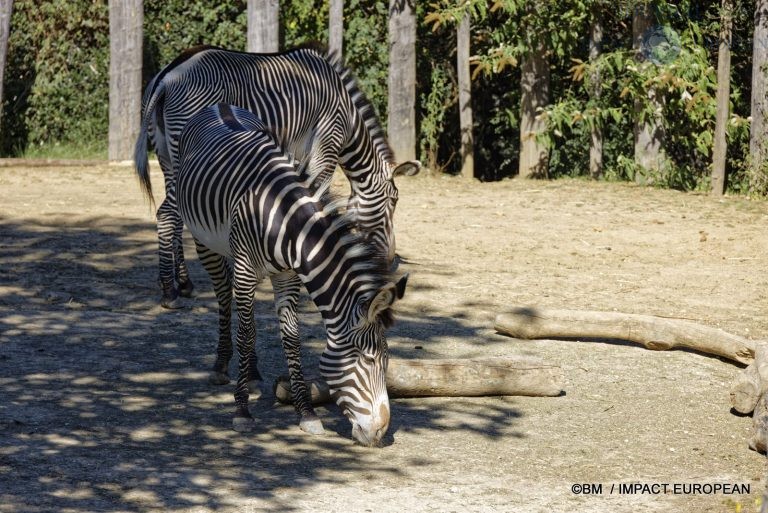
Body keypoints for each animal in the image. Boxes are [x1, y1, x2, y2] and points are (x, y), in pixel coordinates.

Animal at [133, 44, 420, 306]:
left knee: (176, 214)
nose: (390, 261)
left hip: (168, 156)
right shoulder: (326, 147)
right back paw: (169, 291)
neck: (347, 116)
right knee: (167, 214)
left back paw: (184, 283)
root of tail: (167, 76)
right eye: (393, 202)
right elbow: (320, 195)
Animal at [176, 102, 408, 446]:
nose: (380, 433)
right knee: (223, 295)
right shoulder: (246, 269)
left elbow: (291, 337)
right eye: (368, 360)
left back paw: (253, 373)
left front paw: (307, 413)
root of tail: (221, 106)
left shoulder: (288, 277)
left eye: (388, 360)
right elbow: (247, 334)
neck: (287, 224)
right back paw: (221, 365)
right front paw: (242, 410)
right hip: (203, 239)